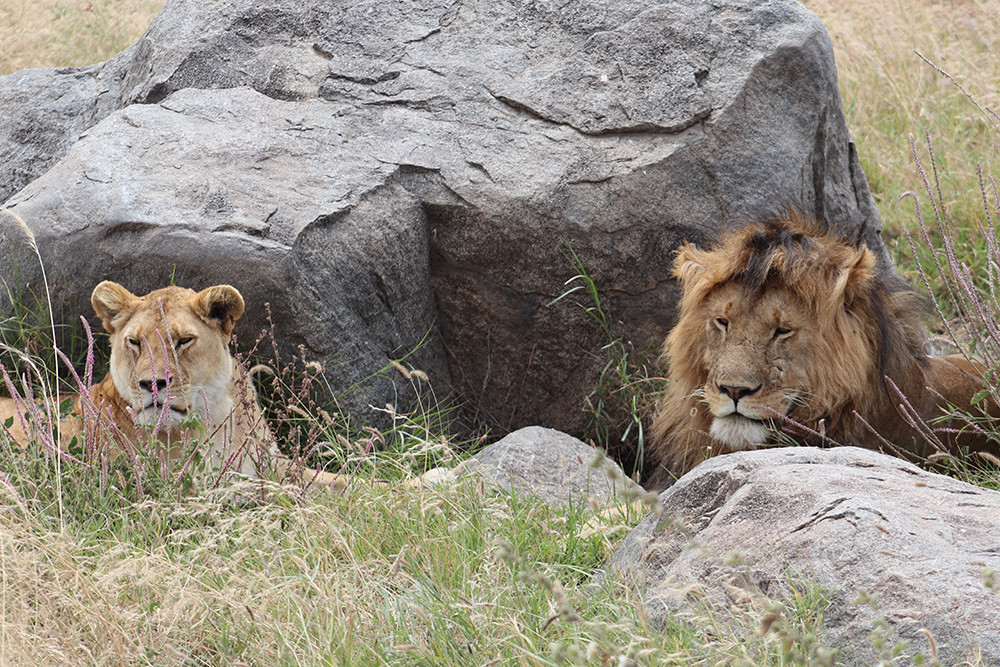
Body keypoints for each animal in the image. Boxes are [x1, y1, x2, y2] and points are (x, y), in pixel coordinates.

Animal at [0, 281, 342, 489]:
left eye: (183, 341)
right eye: (135, 342)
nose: (151, 383)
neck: (216, 415)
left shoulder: (275, 464)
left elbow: (340, 483)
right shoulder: (189, 484)